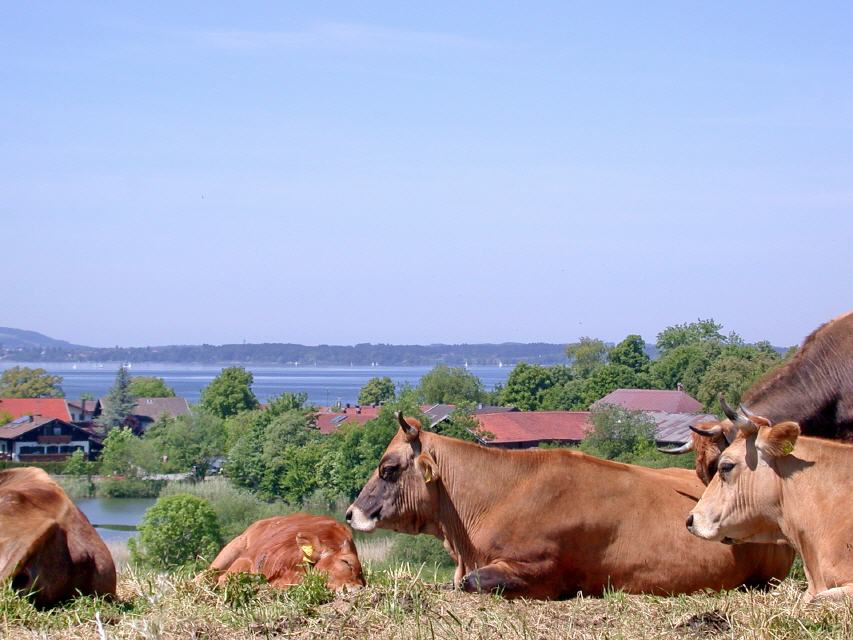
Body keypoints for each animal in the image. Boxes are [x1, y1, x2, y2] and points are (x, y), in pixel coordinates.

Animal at [210, 512, 366, 592]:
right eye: (346, 562)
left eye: (362, 579)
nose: (360, 589)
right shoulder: (246, 560)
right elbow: (226, 580)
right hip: (231, 550)